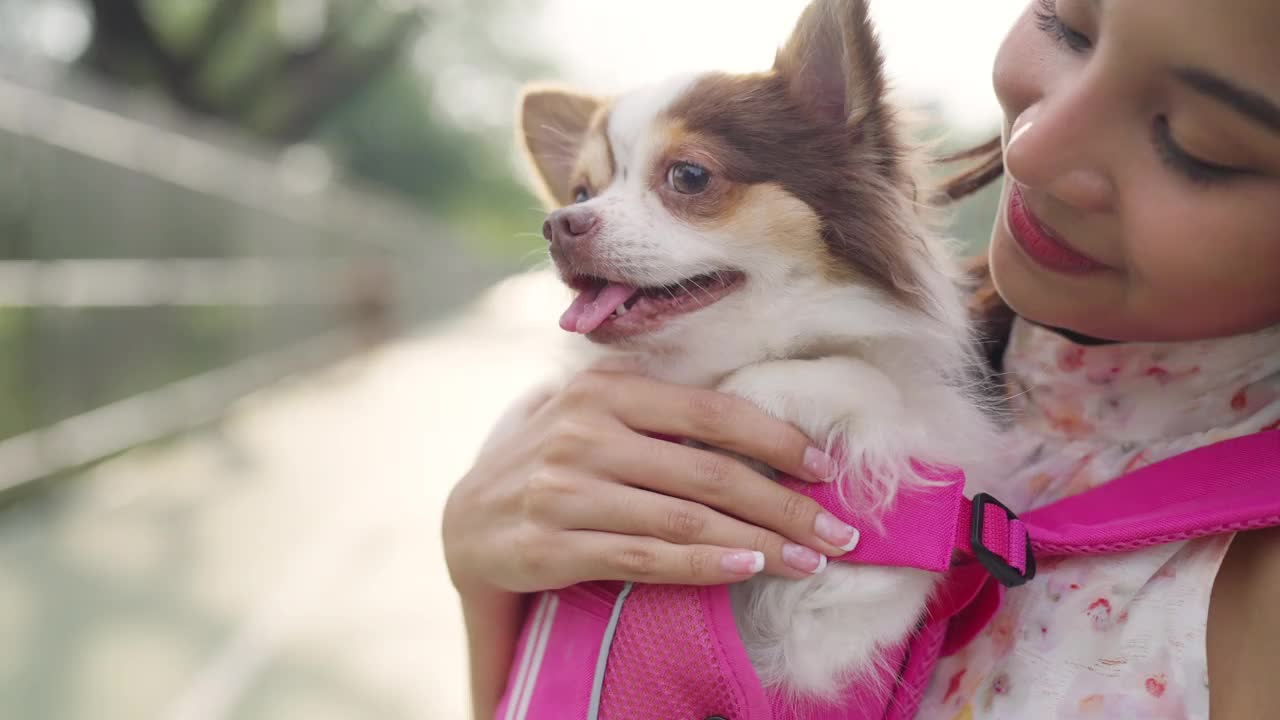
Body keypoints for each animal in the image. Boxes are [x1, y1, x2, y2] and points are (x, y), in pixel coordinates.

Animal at [514, 0, 993, 702]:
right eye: (579, 193)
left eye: (688, 176)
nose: (557, 226)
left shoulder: (840, 619)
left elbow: (866, 381)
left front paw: (757, 391)